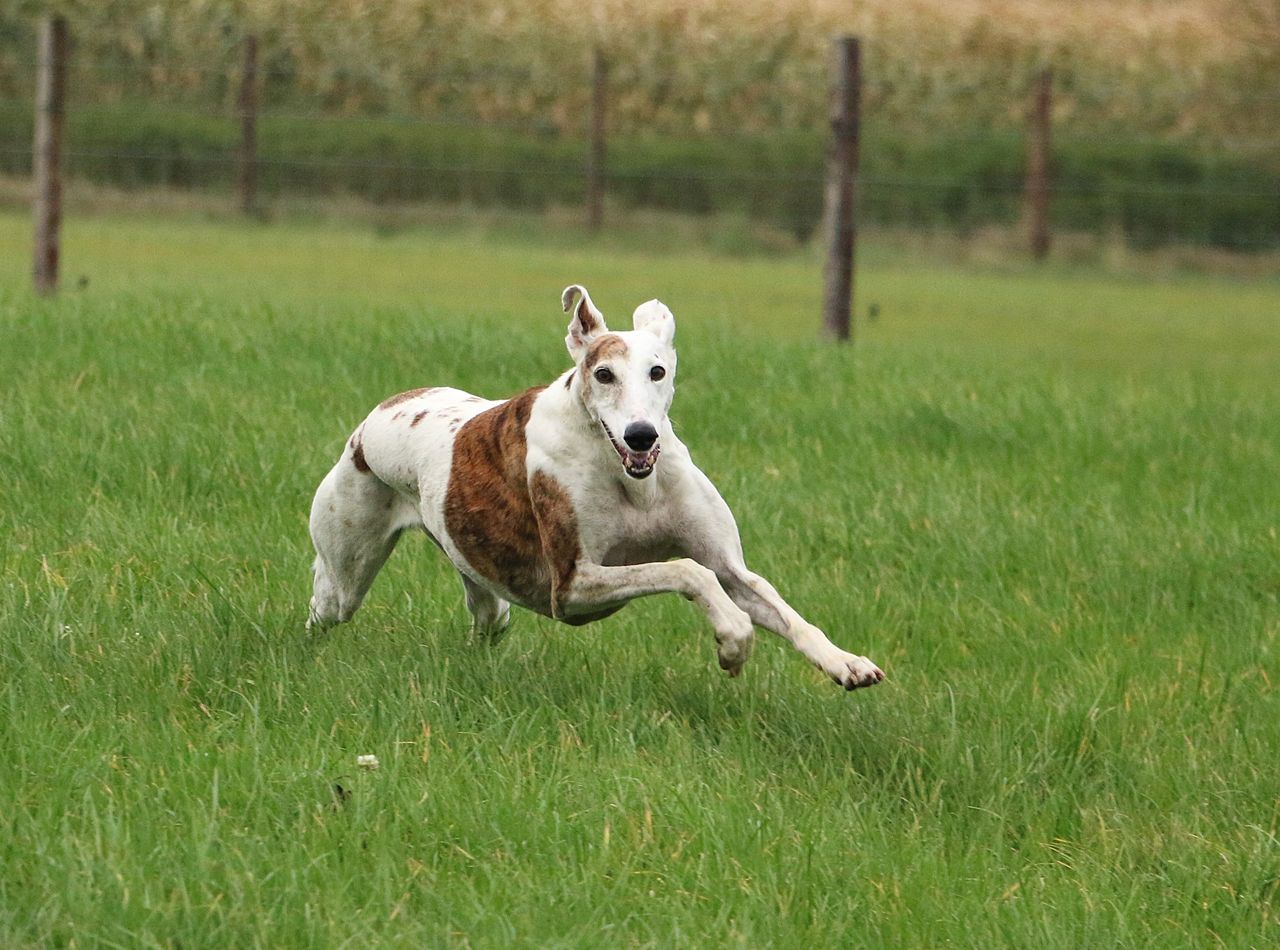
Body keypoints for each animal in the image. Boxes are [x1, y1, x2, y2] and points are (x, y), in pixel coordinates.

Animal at [309, 282, 885, 691]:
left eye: (658, 371)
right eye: (604, 374)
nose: (641, 434)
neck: (631, 480)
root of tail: (384, 410)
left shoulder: (730, 566)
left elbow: (773, 604)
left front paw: (846, 663)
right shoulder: (572, 586)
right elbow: (687, 570)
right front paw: (733, 642)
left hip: (484, 588)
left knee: (487, 619)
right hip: (345, 569)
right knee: (325, 599)